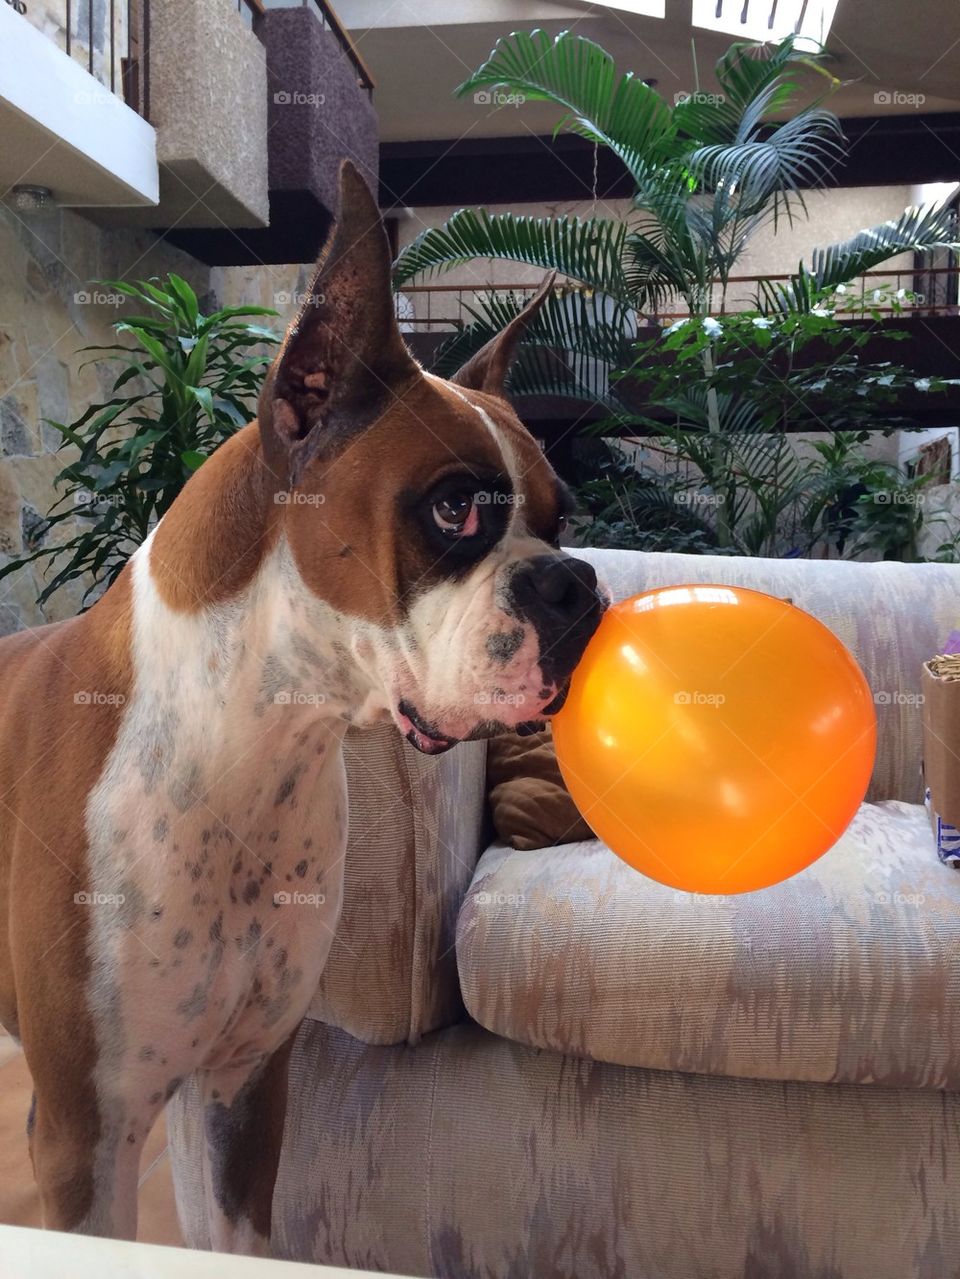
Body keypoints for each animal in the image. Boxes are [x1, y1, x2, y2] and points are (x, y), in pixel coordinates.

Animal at [0, 159, 603, 1248]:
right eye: (454, 508)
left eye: (560, 517)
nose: (576, 586)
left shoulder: (244, 1088)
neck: (250, 742)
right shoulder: (85, 1136)